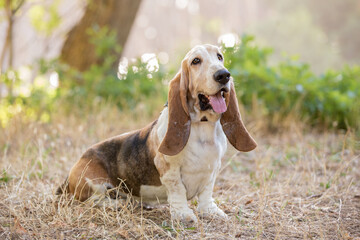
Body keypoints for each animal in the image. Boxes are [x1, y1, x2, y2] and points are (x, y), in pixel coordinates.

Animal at [57, 44, 256, 224]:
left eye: (220, 57)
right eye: (196, 61)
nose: (223, 75)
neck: (202, 126)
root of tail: (75, 166)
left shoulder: (212, 169)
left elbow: (206, 193)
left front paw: (211, 211)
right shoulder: (170, 171)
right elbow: (178, 191)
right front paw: (183, 215)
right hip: (95, 183)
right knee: (91, 201)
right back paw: (116, 204)